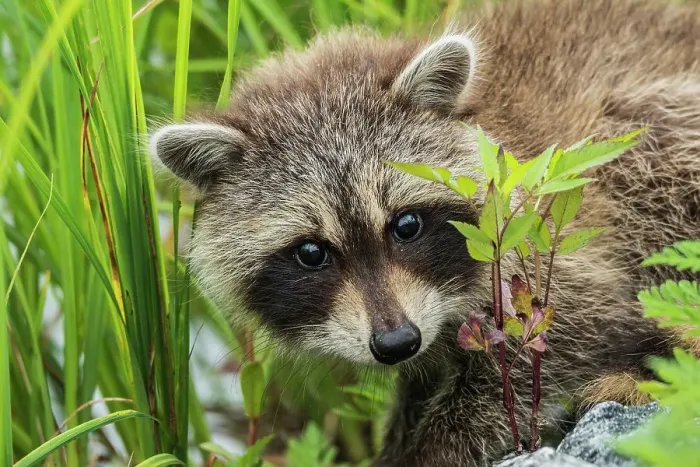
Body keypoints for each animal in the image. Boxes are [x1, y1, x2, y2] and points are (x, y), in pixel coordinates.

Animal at [149, 0, 700, 465]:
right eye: (310, 252)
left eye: (406, 225)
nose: (397, 343)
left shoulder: (546, 231)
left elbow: (567, 328)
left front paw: (430, 450)